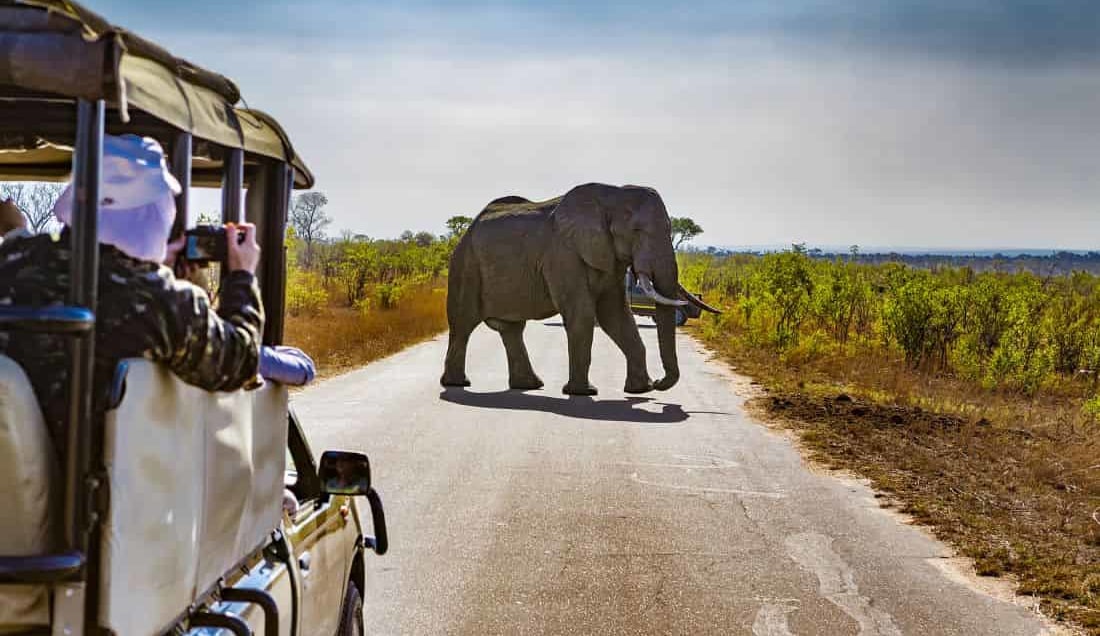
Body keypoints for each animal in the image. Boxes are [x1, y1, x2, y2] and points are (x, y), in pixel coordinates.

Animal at [440, 183, 719, 396]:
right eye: (637, 231)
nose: (661, 383)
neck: (611, 196)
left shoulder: (609, 259)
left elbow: (616, 315)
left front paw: (640, 390)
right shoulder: (563, 255)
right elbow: (583, 315)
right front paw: (584, 393)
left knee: (511, 329)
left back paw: (529, 386)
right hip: (466, 265)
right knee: (463, 324)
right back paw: (458, 384)